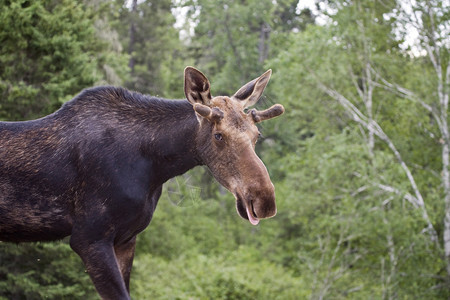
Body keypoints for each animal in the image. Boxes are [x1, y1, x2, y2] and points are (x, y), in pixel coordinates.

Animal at [0, 67, 284, 298]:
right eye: (218, 135)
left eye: (257, 134)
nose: (264, 199)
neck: (155, 166)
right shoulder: (89, 238)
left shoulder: (126, 239)